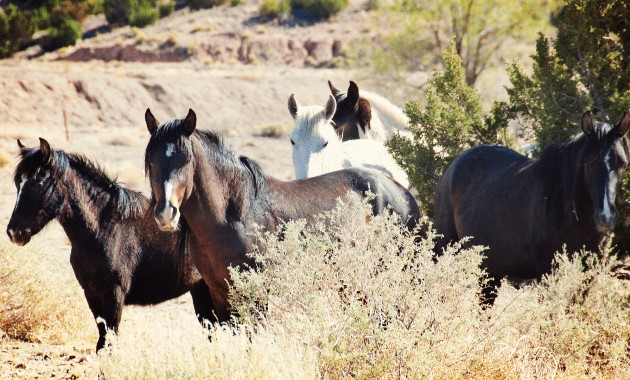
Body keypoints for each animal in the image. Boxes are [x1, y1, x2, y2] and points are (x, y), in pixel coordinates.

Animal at [4, 138, 217, 352]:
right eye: (18, 182)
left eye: (39, 181)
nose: (14, 232)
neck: (104, 229)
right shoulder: (91, 293)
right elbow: (102, 340)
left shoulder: (113, 294)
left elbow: (108, 340)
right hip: (201, 290)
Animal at [143, 108, 420, 322]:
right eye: (152, 162)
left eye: (186, 161)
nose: (166, 213)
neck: (235, 215)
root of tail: (401, 192)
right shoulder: (220, 295)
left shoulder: (254, 294)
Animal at [436, 111, 630, 302]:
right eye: (588, 162)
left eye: (622, 163)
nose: (606, 217)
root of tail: (454, 165)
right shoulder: (548, 272)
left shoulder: (587, 274)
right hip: (445, 249)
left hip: (491, 269)